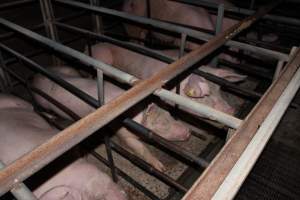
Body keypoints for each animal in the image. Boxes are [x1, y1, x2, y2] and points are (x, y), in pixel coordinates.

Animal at [32, 65, 190, 170]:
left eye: (170, 115)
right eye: (162, 124)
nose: (188, 132)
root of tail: (34, 77)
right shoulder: (122, 132)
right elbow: (138, 148)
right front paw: (161, 167)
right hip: (41, 101)